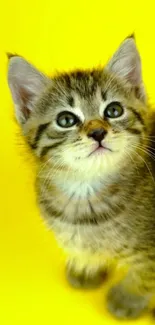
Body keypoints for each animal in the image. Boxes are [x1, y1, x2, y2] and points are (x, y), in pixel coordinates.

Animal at [7, 36, 155, 318]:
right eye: (66, 119)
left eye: (114, 110)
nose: (98, 132)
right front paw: (87, 266)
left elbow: (145, 272)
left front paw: (129, 298)